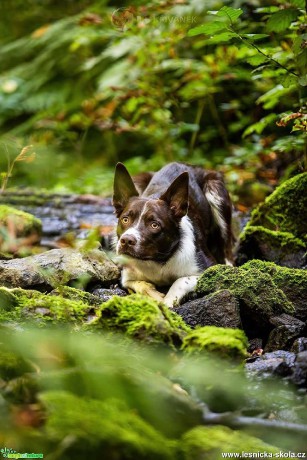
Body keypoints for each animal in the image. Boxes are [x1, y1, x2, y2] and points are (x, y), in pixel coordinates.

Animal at [112, 162, 235, 310]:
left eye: (154, 225)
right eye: (125, 219)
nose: (126, 240)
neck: (157, 260)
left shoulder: (209, 268)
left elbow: (181, 280)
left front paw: (168, 300)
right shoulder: (126, 277)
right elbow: (141, 285)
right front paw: (157, 296)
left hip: (216, 191)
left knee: (227, 247)